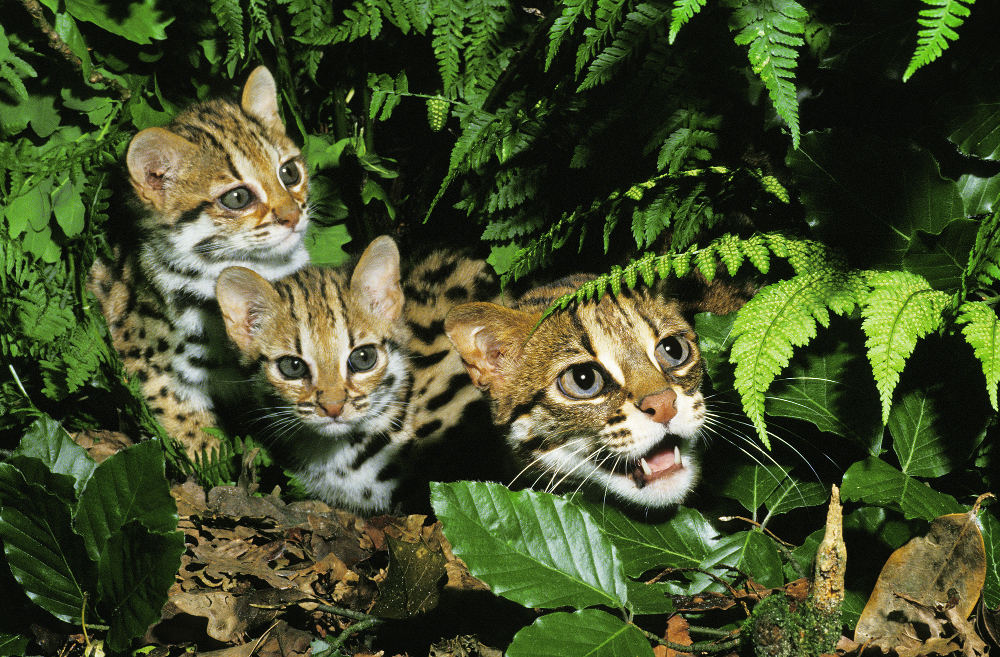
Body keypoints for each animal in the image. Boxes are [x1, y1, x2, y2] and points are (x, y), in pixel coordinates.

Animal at [88, 66, 310, 456]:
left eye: (290, 173)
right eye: (237, 198)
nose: (293, 216)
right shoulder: (153, 372)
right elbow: (195, 437)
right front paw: (213, 461)